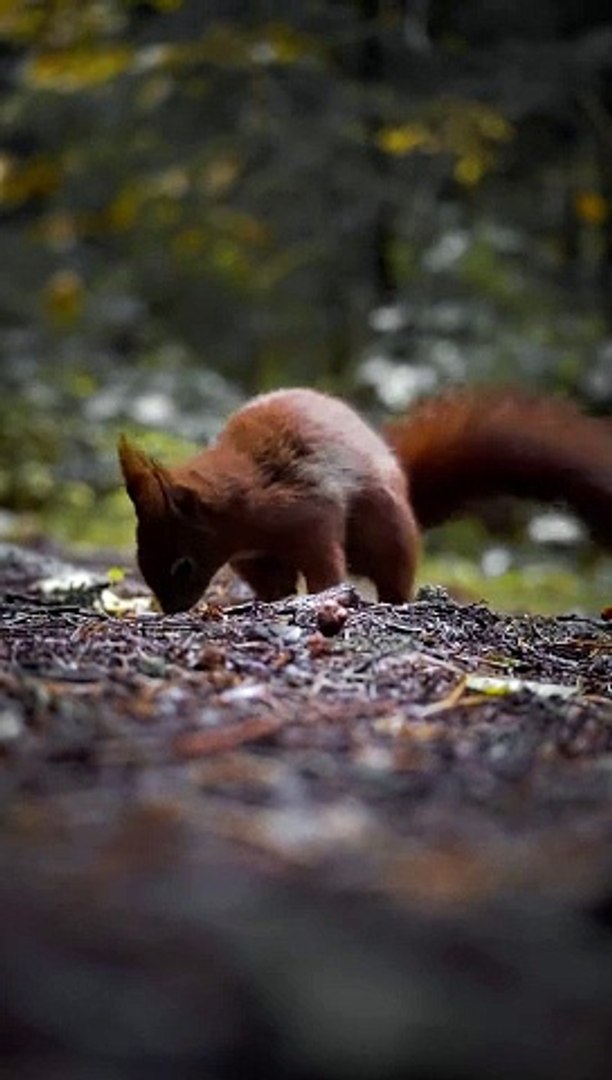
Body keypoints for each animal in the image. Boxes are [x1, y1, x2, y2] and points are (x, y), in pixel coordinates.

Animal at [118, 387, 612, 613]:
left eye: (182, 566)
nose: (173, 608)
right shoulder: (253, 557)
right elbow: (273, 582)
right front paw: (269, 602)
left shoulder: (310, 514)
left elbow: (324, 564)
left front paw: (322, 595)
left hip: (385, 530)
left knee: (394, 577)